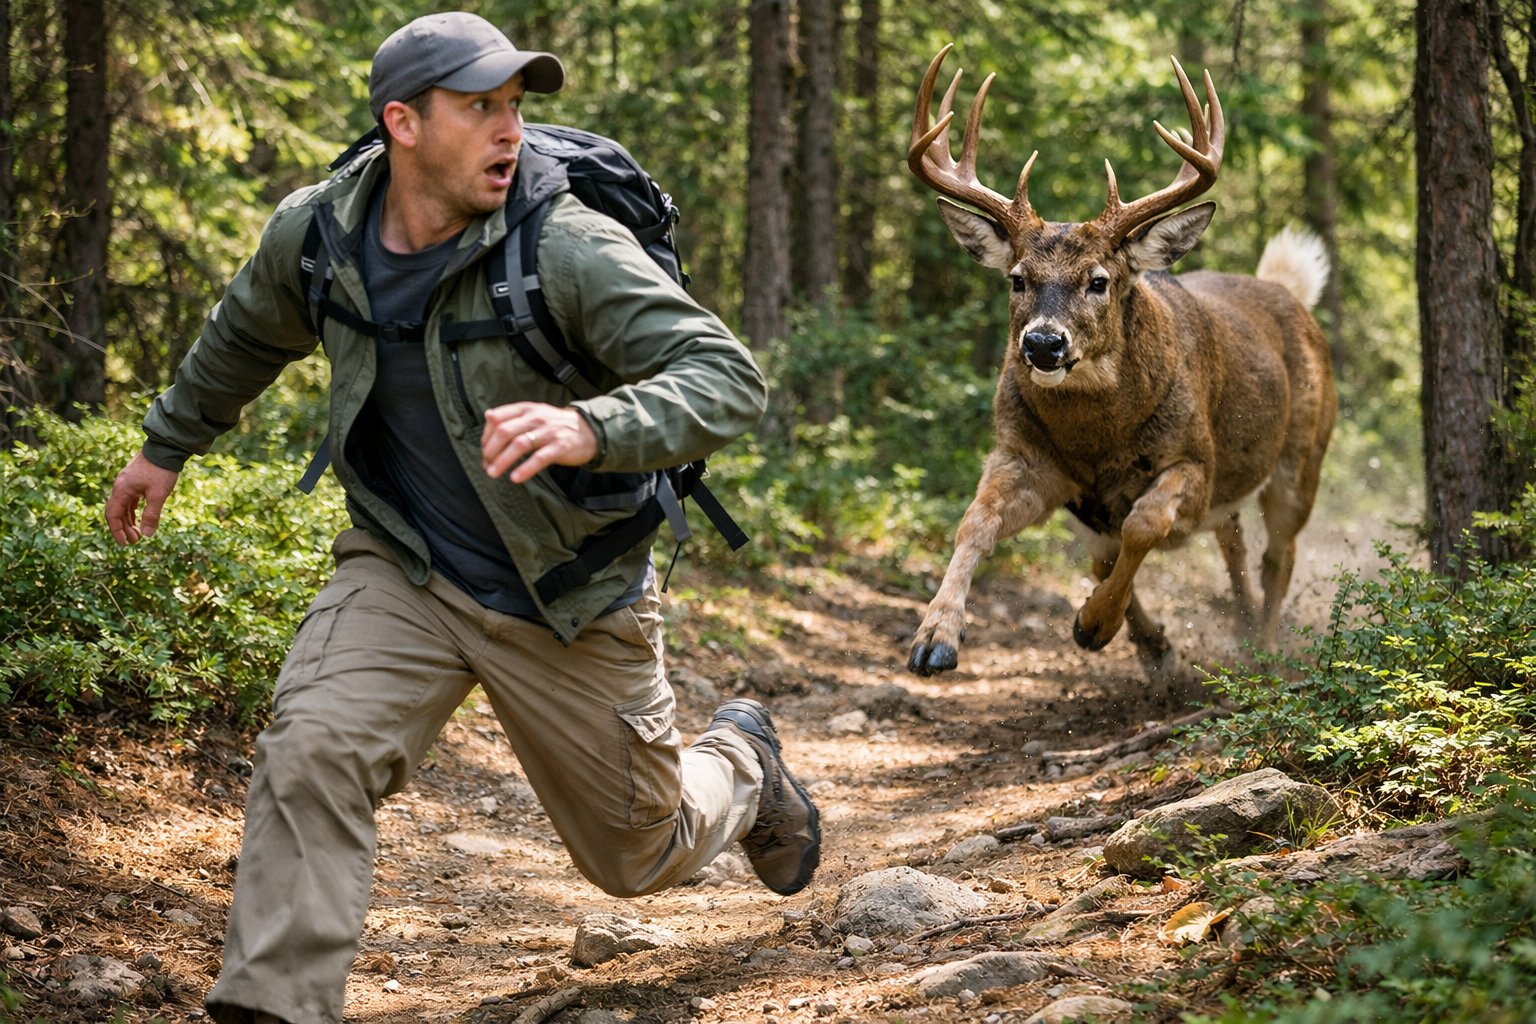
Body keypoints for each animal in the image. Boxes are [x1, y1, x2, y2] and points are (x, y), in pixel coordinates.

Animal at [904, 45, 1336, 701]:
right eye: (1017, 279)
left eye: (1099, 281)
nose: (1043, 343)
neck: (1097, 443)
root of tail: (1288, 293)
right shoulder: (1030, 460)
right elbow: (975, 522)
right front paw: (935, 638)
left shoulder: (1195, 461)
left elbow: (1142, 526)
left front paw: (1096, 622)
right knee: (1233, 545)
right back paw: (1229, 632)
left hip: (1300, 458)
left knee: (1277, 556)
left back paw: (1263, 652)